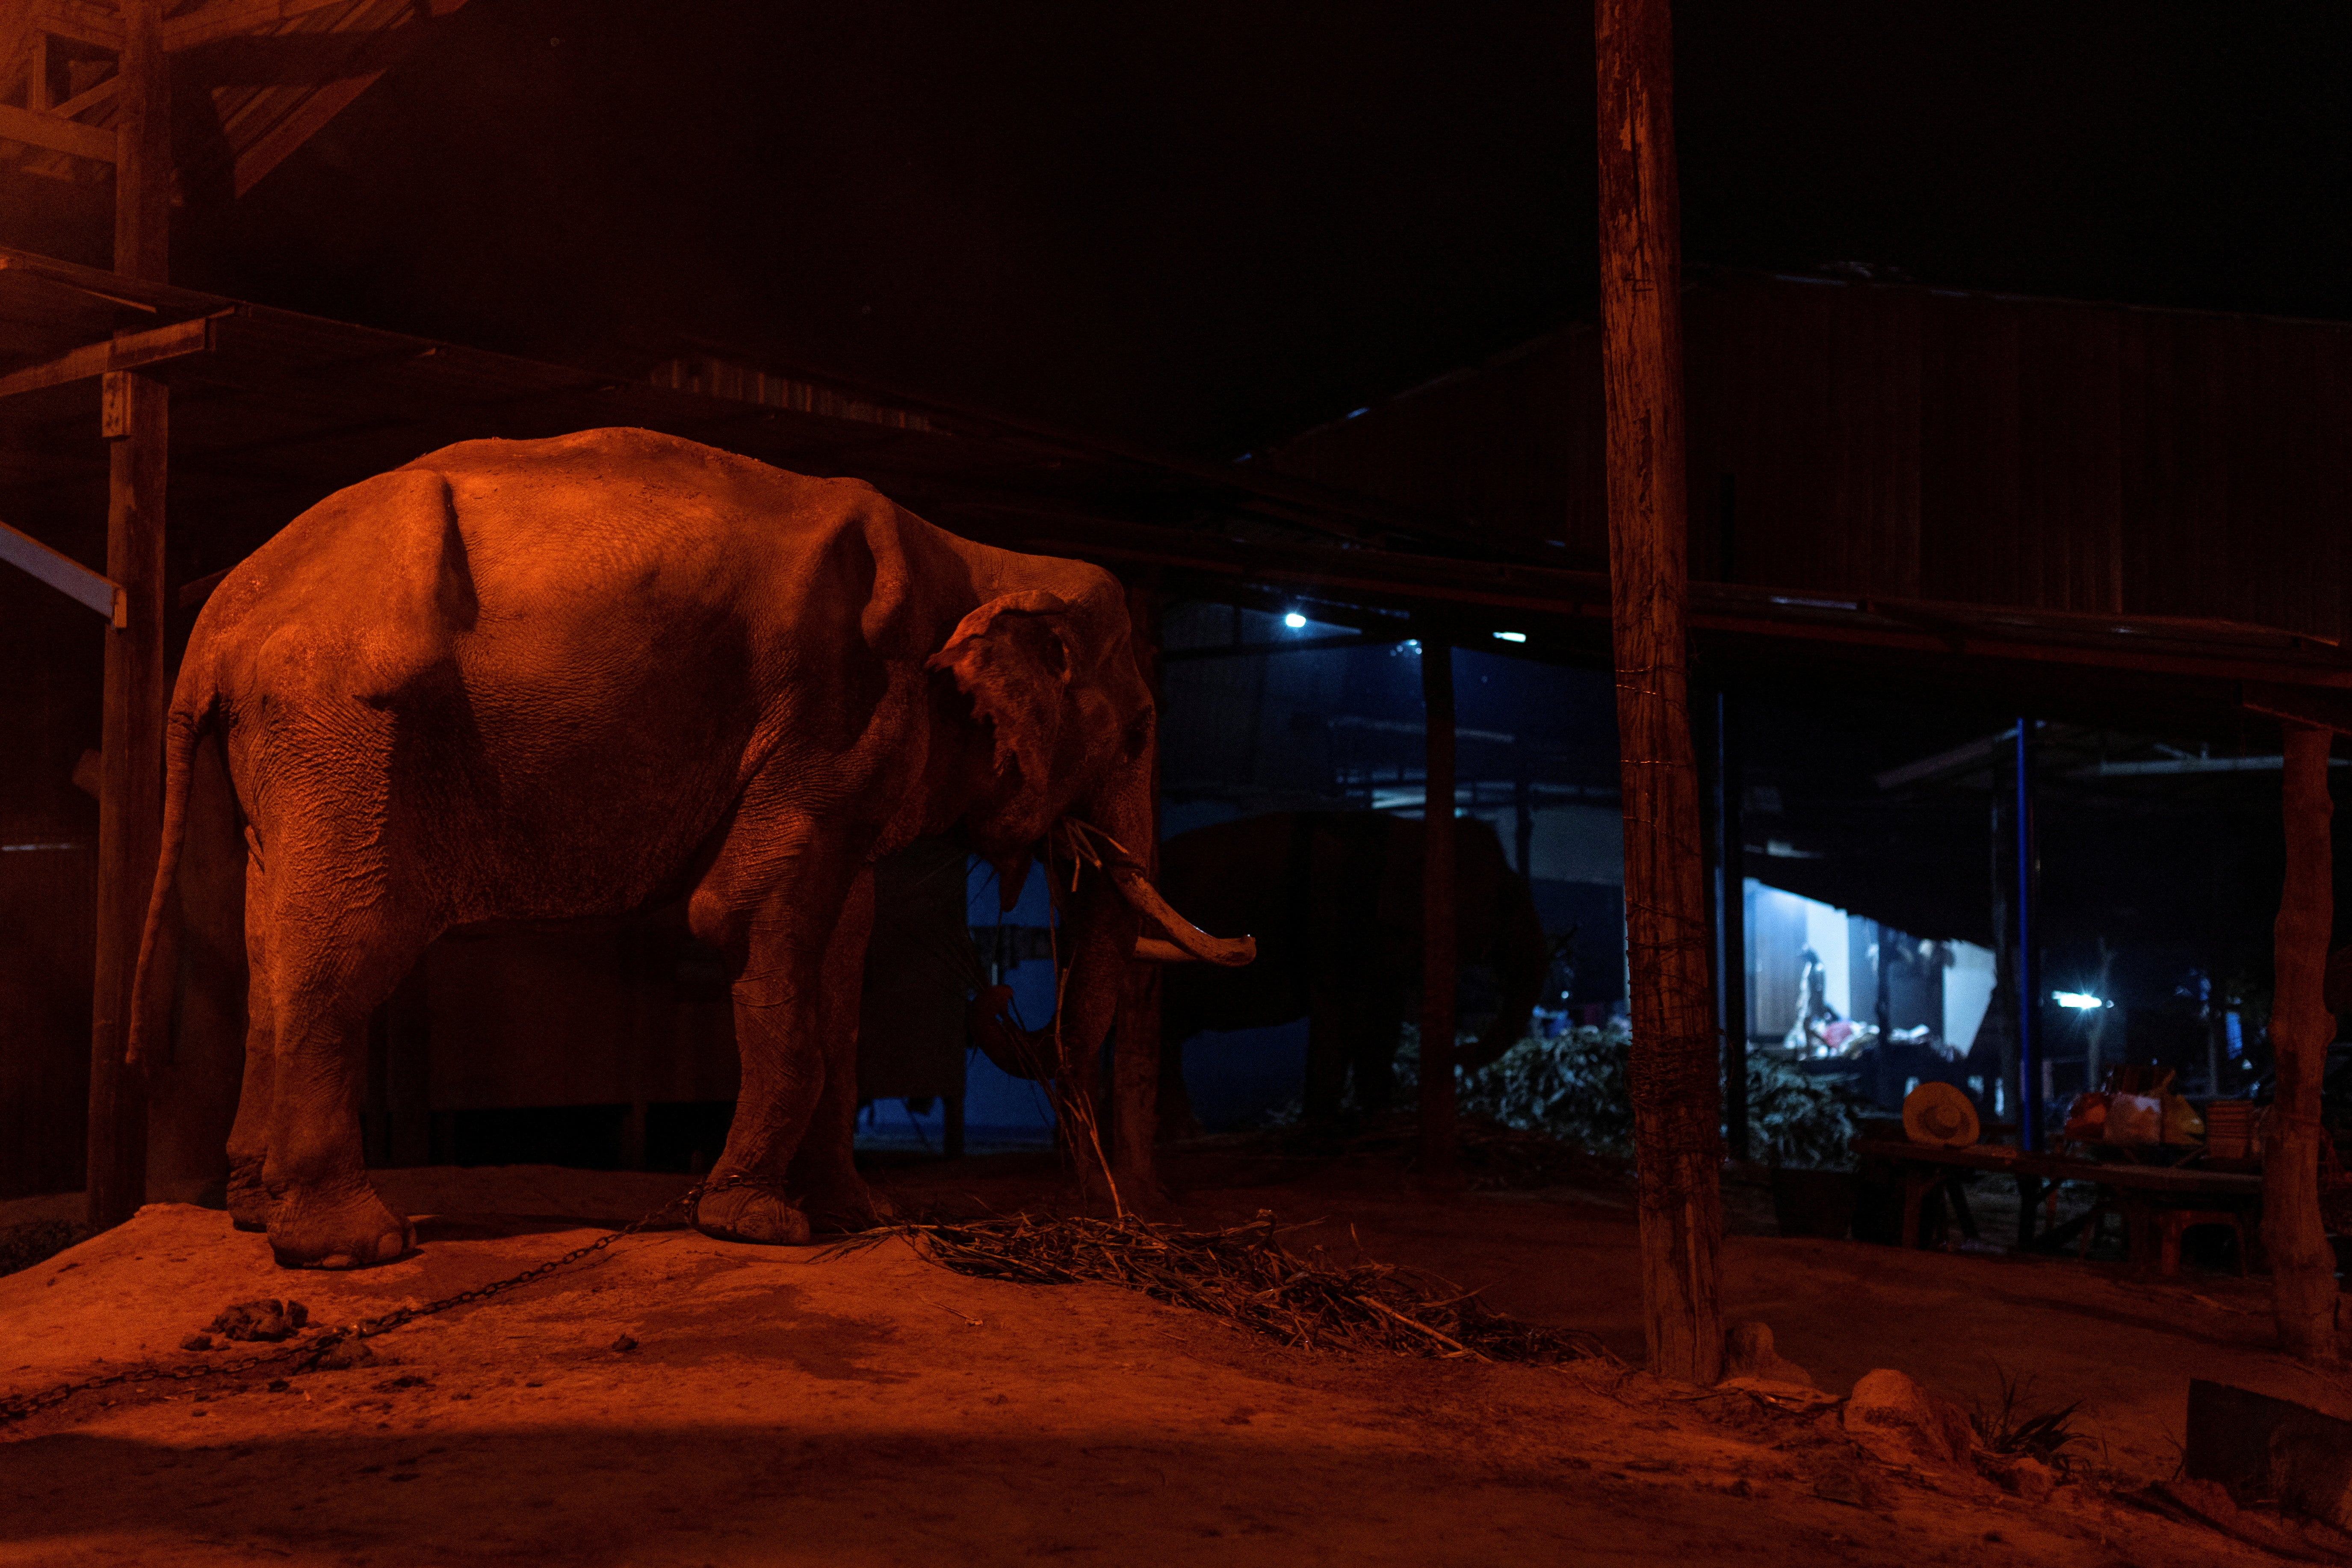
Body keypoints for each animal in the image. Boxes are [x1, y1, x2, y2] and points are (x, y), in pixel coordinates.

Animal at [133, 423, 1251, 1269]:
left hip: (288, 736)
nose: (1117, 1210)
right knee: (347, 942)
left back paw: (253, 1210)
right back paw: (352, 1247)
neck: (986, 555)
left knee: (266, 938)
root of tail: (216, 623)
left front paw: (858, 1218)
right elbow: (747, 920)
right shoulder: (837, 708)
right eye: (1139, 733)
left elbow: (839, 956)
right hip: (346, 720)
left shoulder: (849, 751)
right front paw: (758, 1226)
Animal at [1148, 818, 1552, 1133]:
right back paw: (1188, 1131)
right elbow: (1342, 1008)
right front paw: (1322, 1121)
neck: (1413, 827)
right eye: (1502, 898)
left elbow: (1382, 1013)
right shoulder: (1336, 916)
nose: (1459, 1052)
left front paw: (1378, 1114)